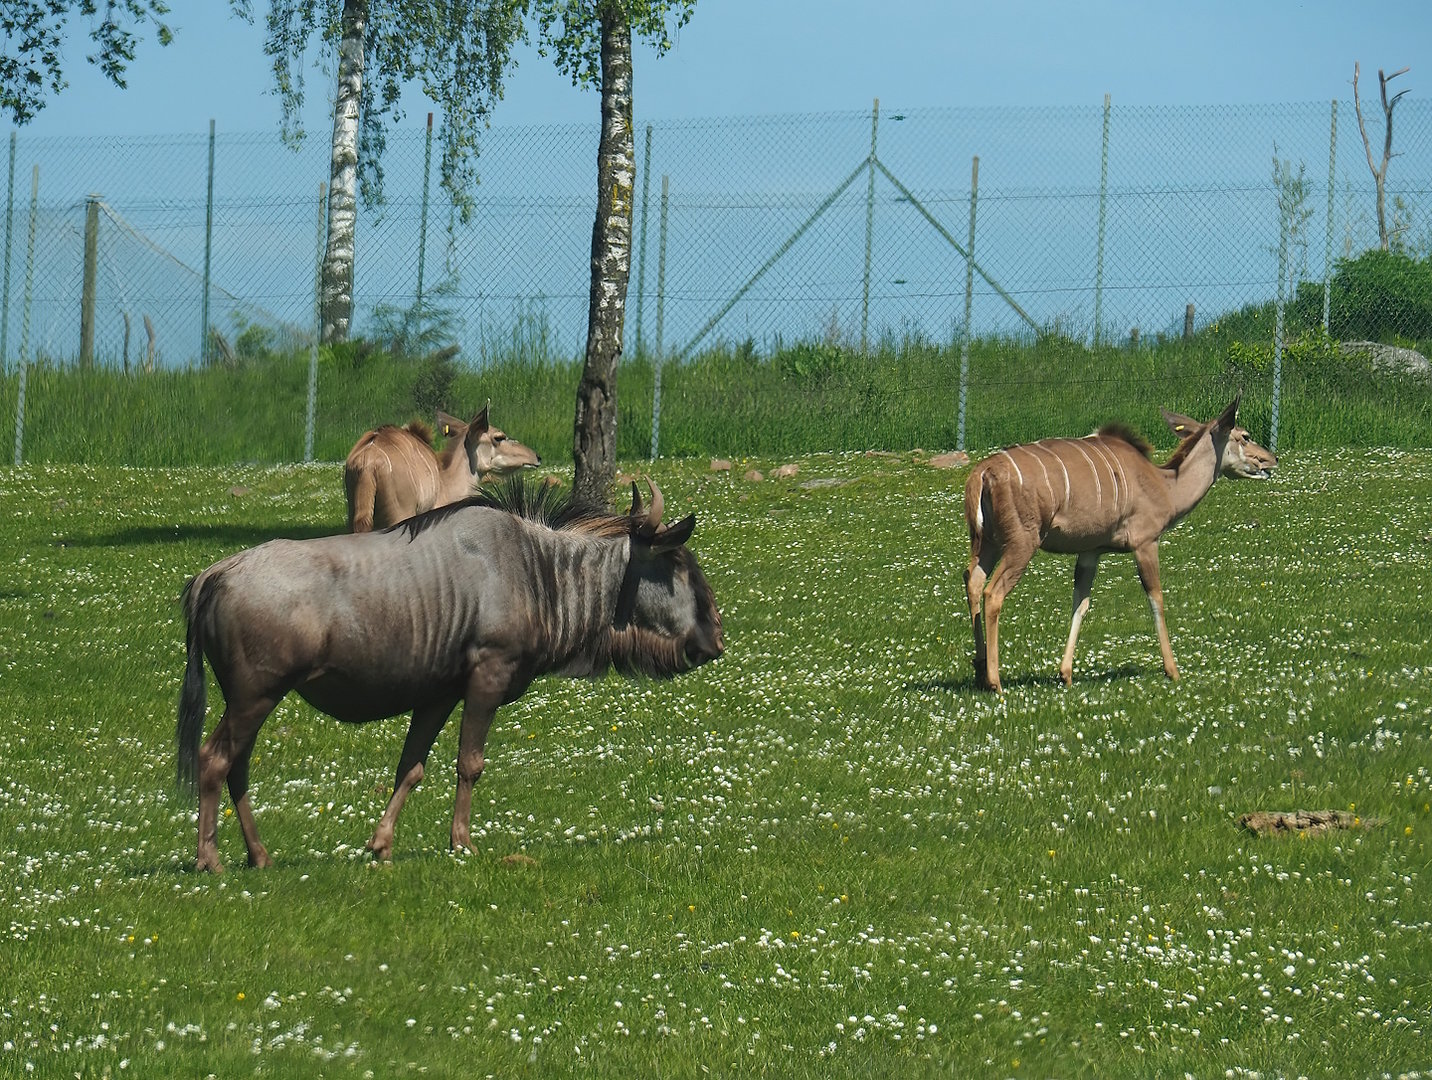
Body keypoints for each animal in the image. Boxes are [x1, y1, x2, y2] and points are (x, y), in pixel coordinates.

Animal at [963, 395, 1275, 692]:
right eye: (1245, 436)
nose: (1271, 460)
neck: (1165, 485)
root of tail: (982, 473)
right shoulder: (1146, 543)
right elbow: (1156, 598)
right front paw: (1172, 670)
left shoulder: (1091, 551)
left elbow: (1081, 603)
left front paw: (1065, 674)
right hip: (1022, 542)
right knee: (993, 592)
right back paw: (995, 681)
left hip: (986, 542)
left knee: (973, 580)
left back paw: (979, 671)